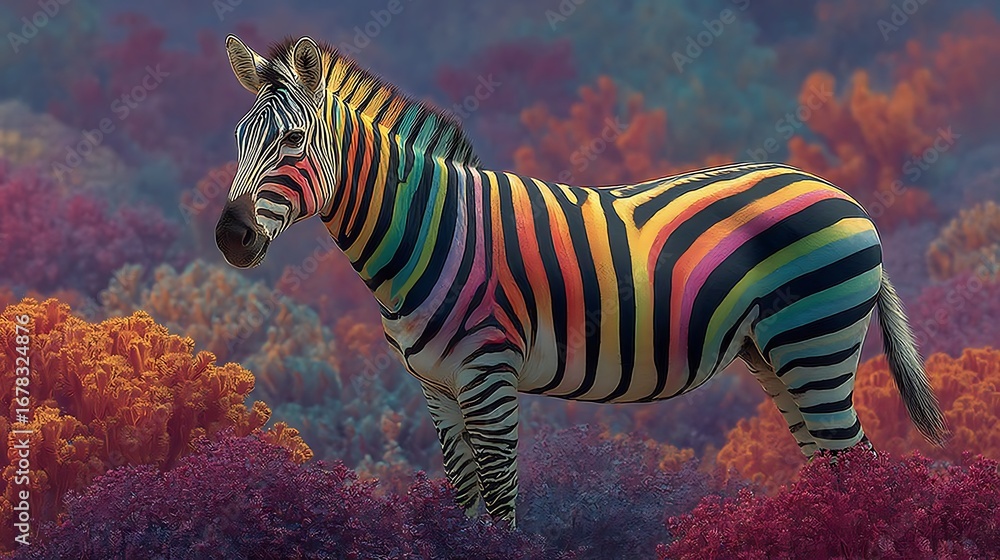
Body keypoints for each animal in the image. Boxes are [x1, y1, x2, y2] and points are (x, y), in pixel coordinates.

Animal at [215, 35, 949, 527]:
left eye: (293, 142)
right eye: (238, 139)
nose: (229, 236)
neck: (427, 229)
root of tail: (844, 196)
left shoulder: (488, 379)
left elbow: (502, 512)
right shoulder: (436, 389)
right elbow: (466, 509)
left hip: (814, 345)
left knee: (859, 464)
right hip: (776, 357)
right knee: (837, 467)